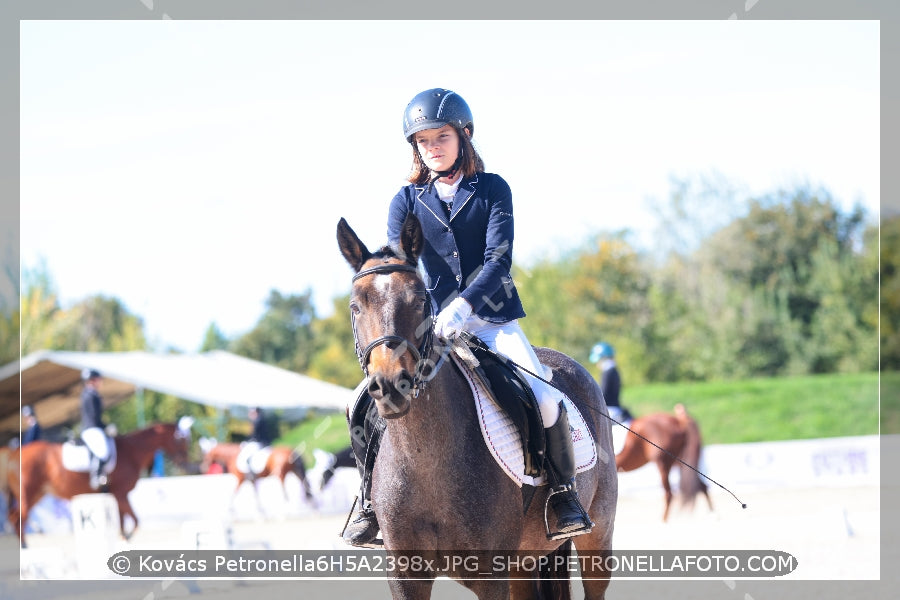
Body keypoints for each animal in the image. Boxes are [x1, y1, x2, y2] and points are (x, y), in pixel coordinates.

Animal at [7, 420, 193, 548]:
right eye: (181, 440)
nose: (186, 464)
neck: (132, 452)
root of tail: (15, 454)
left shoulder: (118, 496)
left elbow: (123, 522)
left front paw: (123, 540)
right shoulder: (121, 493)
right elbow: (135, 520)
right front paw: (127, 538)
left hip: (38, 493)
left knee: (15, 517)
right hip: (29, 493)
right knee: (18, 519)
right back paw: (24, 549)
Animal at [338, 216, 620, 600]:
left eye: (419, 300)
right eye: (356, 306)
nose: (391, 386)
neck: (425, 455)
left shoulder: (490, 576)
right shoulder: (405, 575)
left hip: (597, 537)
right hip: (524, 561)